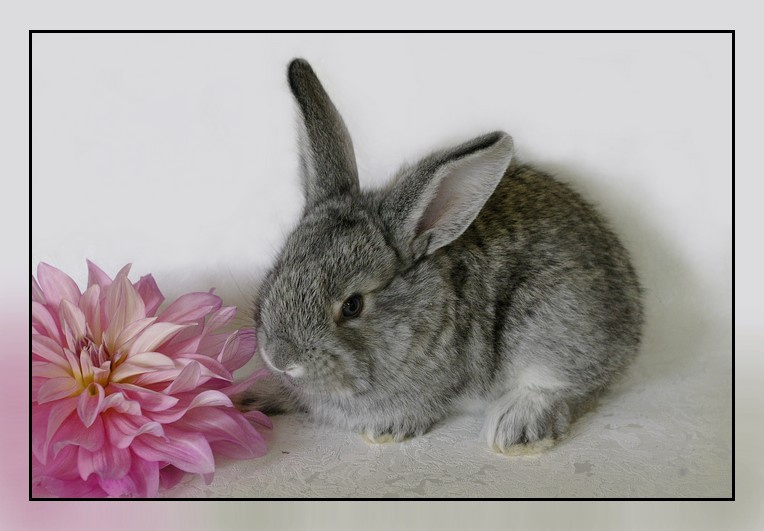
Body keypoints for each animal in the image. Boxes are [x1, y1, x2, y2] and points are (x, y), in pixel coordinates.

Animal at [237, 58, 644, 453]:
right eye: (277, 270)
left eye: (352, 305)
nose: (279, 357)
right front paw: (252, 397)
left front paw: (385, 430)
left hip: (552, 322)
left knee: (569, 387)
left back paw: (516, 429)